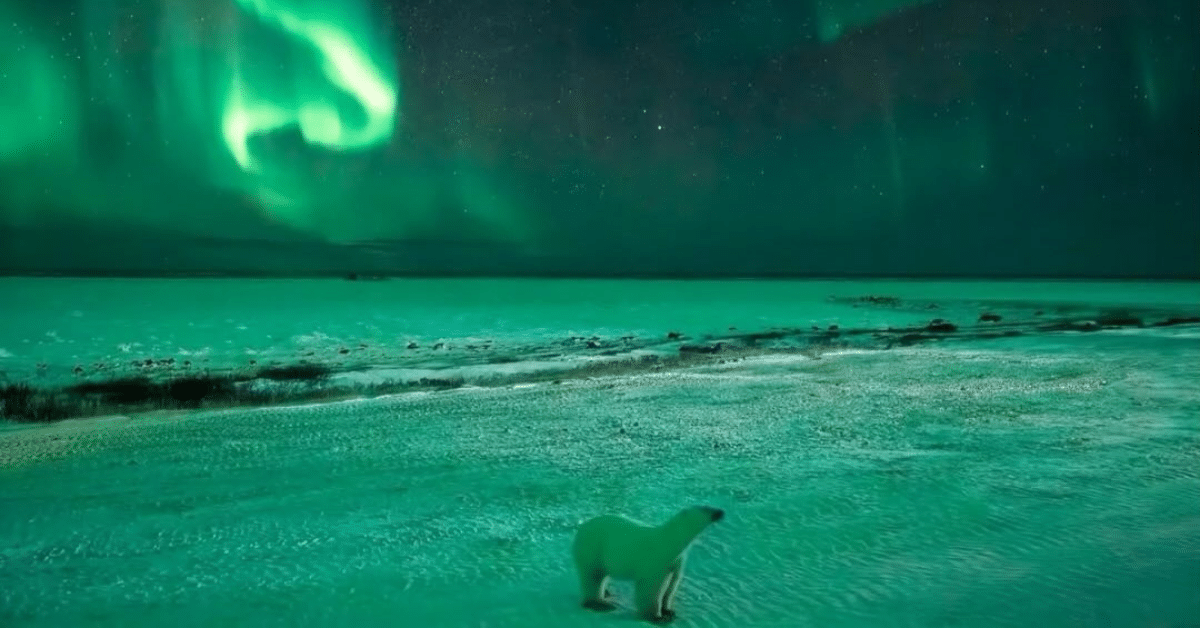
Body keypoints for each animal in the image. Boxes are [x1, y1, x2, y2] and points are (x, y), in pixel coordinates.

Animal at [571, 505, 724, 624]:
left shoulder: (676, 563)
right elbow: (652, 589)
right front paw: (657, 618)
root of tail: (581, 528)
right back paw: (600, 604)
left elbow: (672, 586)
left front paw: (669, 611)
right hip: (594, 549)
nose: (721, 512)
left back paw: (607, 593)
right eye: (706, 508)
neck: (670, 542)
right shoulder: (656, 560)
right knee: (593, 577)